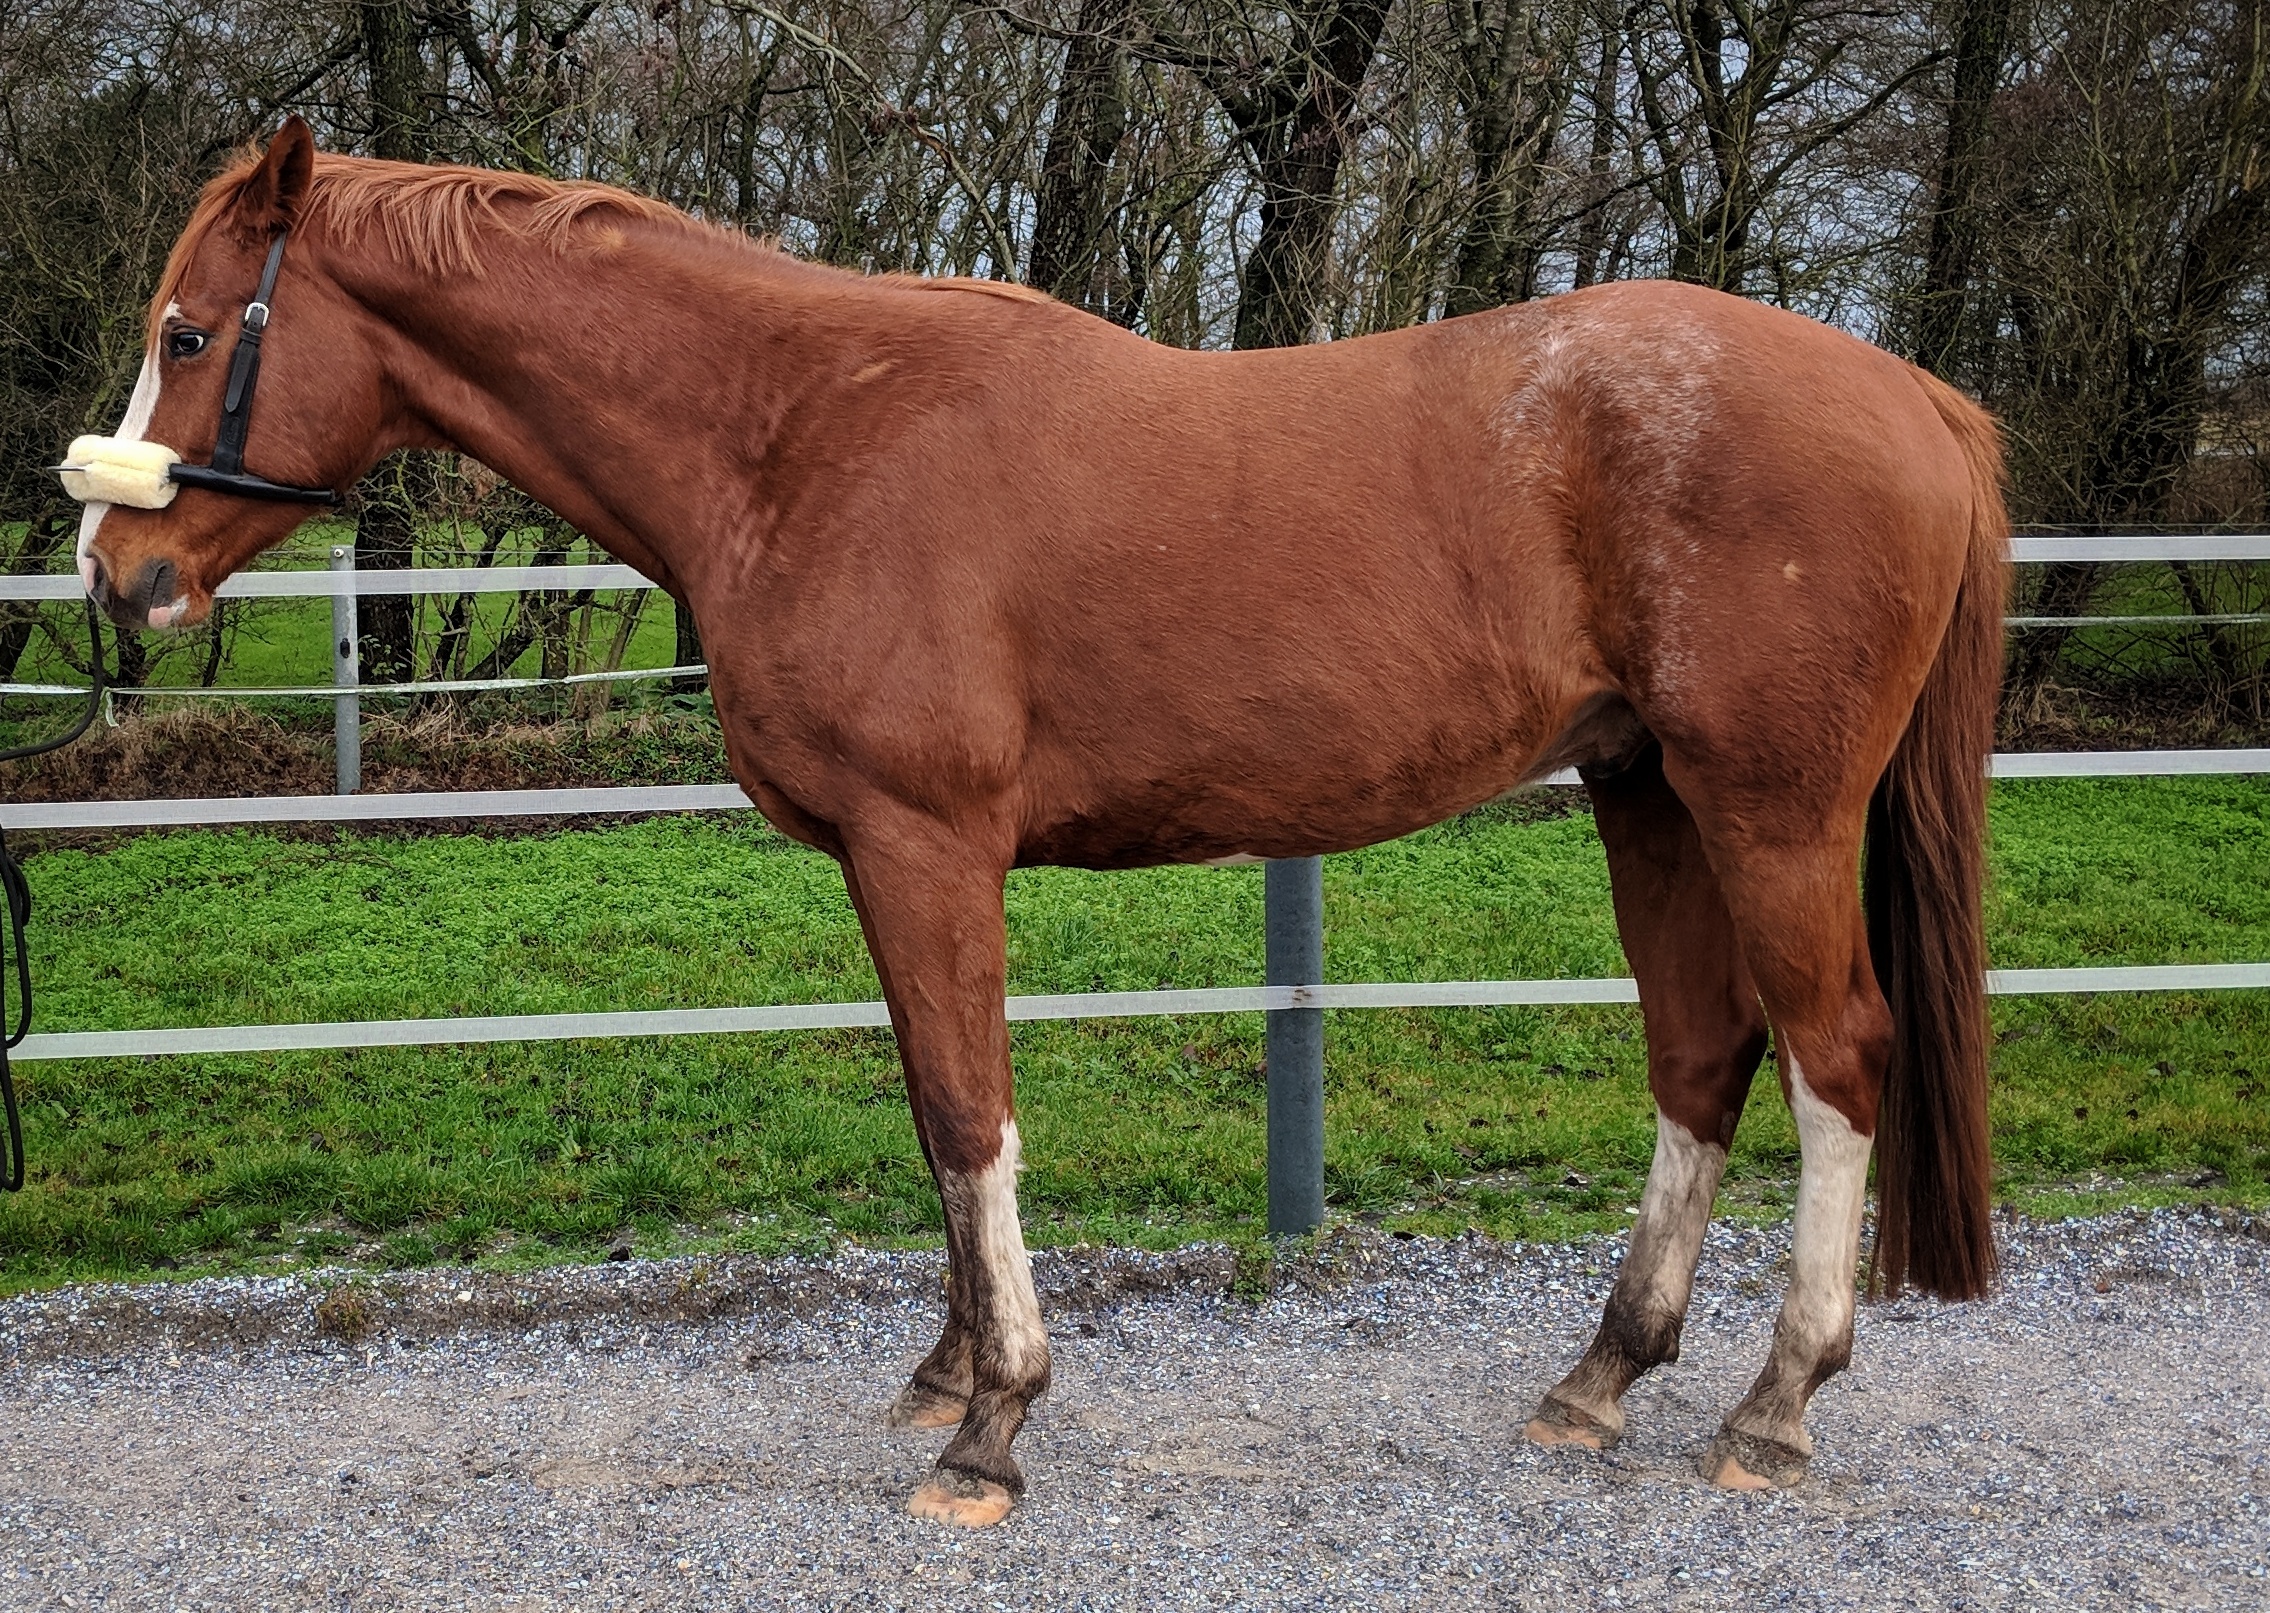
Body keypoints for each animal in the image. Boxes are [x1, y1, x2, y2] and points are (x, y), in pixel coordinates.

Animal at [62, 117, 2004, 1528]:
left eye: (186, 332)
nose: (115, 574)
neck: (795, 437)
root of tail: (1915, 396)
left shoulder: (930, 844)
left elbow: (967, 1110)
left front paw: (989, 1424)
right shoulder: (885, 862)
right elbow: (934, 1110)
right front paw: (946, 1369)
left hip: (1765, 807)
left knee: (1835, 1055)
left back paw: (1772, 1407)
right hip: (1646, 793)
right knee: (1699, 1054)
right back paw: (1598, 1380)